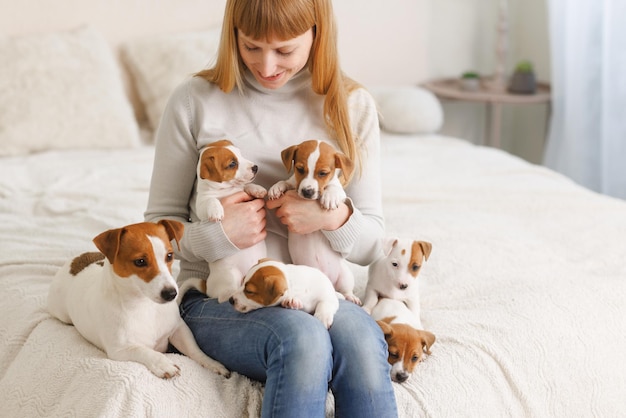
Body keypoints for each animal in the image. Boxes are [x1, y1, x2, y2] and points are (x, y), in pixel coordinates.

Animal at [47, 220, 229, 380]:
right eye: (140, 261)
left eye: (170, 256)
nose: (172, 294)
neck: (145, 305)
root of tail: (75, 259)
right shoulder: (120, 350)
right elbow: (145, 351)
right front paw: (163, 364)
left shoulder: (178, 328)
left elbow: (194, 349)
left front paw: (212, 363)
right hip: (61, 313)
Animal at [190, 140, 268, 304]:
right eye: (232, 164)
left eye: (240, 154)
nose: (255, 167)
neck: (226, 190)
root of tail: (208, 286)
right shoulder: (202, 205)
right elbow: (211, 201)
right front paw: (216, 211)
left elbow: (247, 186)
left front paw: (257, 189)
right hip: (231, 276)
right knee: (221, 297)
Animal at [266, 139, 358, 306]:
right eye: (300, 169)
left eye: (323, 173)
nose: (307, 192)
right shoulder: (293, 182)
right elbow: (286, 182)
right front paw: (276, 188)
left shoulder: (341, 193)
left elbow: (334, 188)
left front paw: (330, 196)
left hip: (346, 276)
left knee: (346, 290)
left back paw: (351, 297)